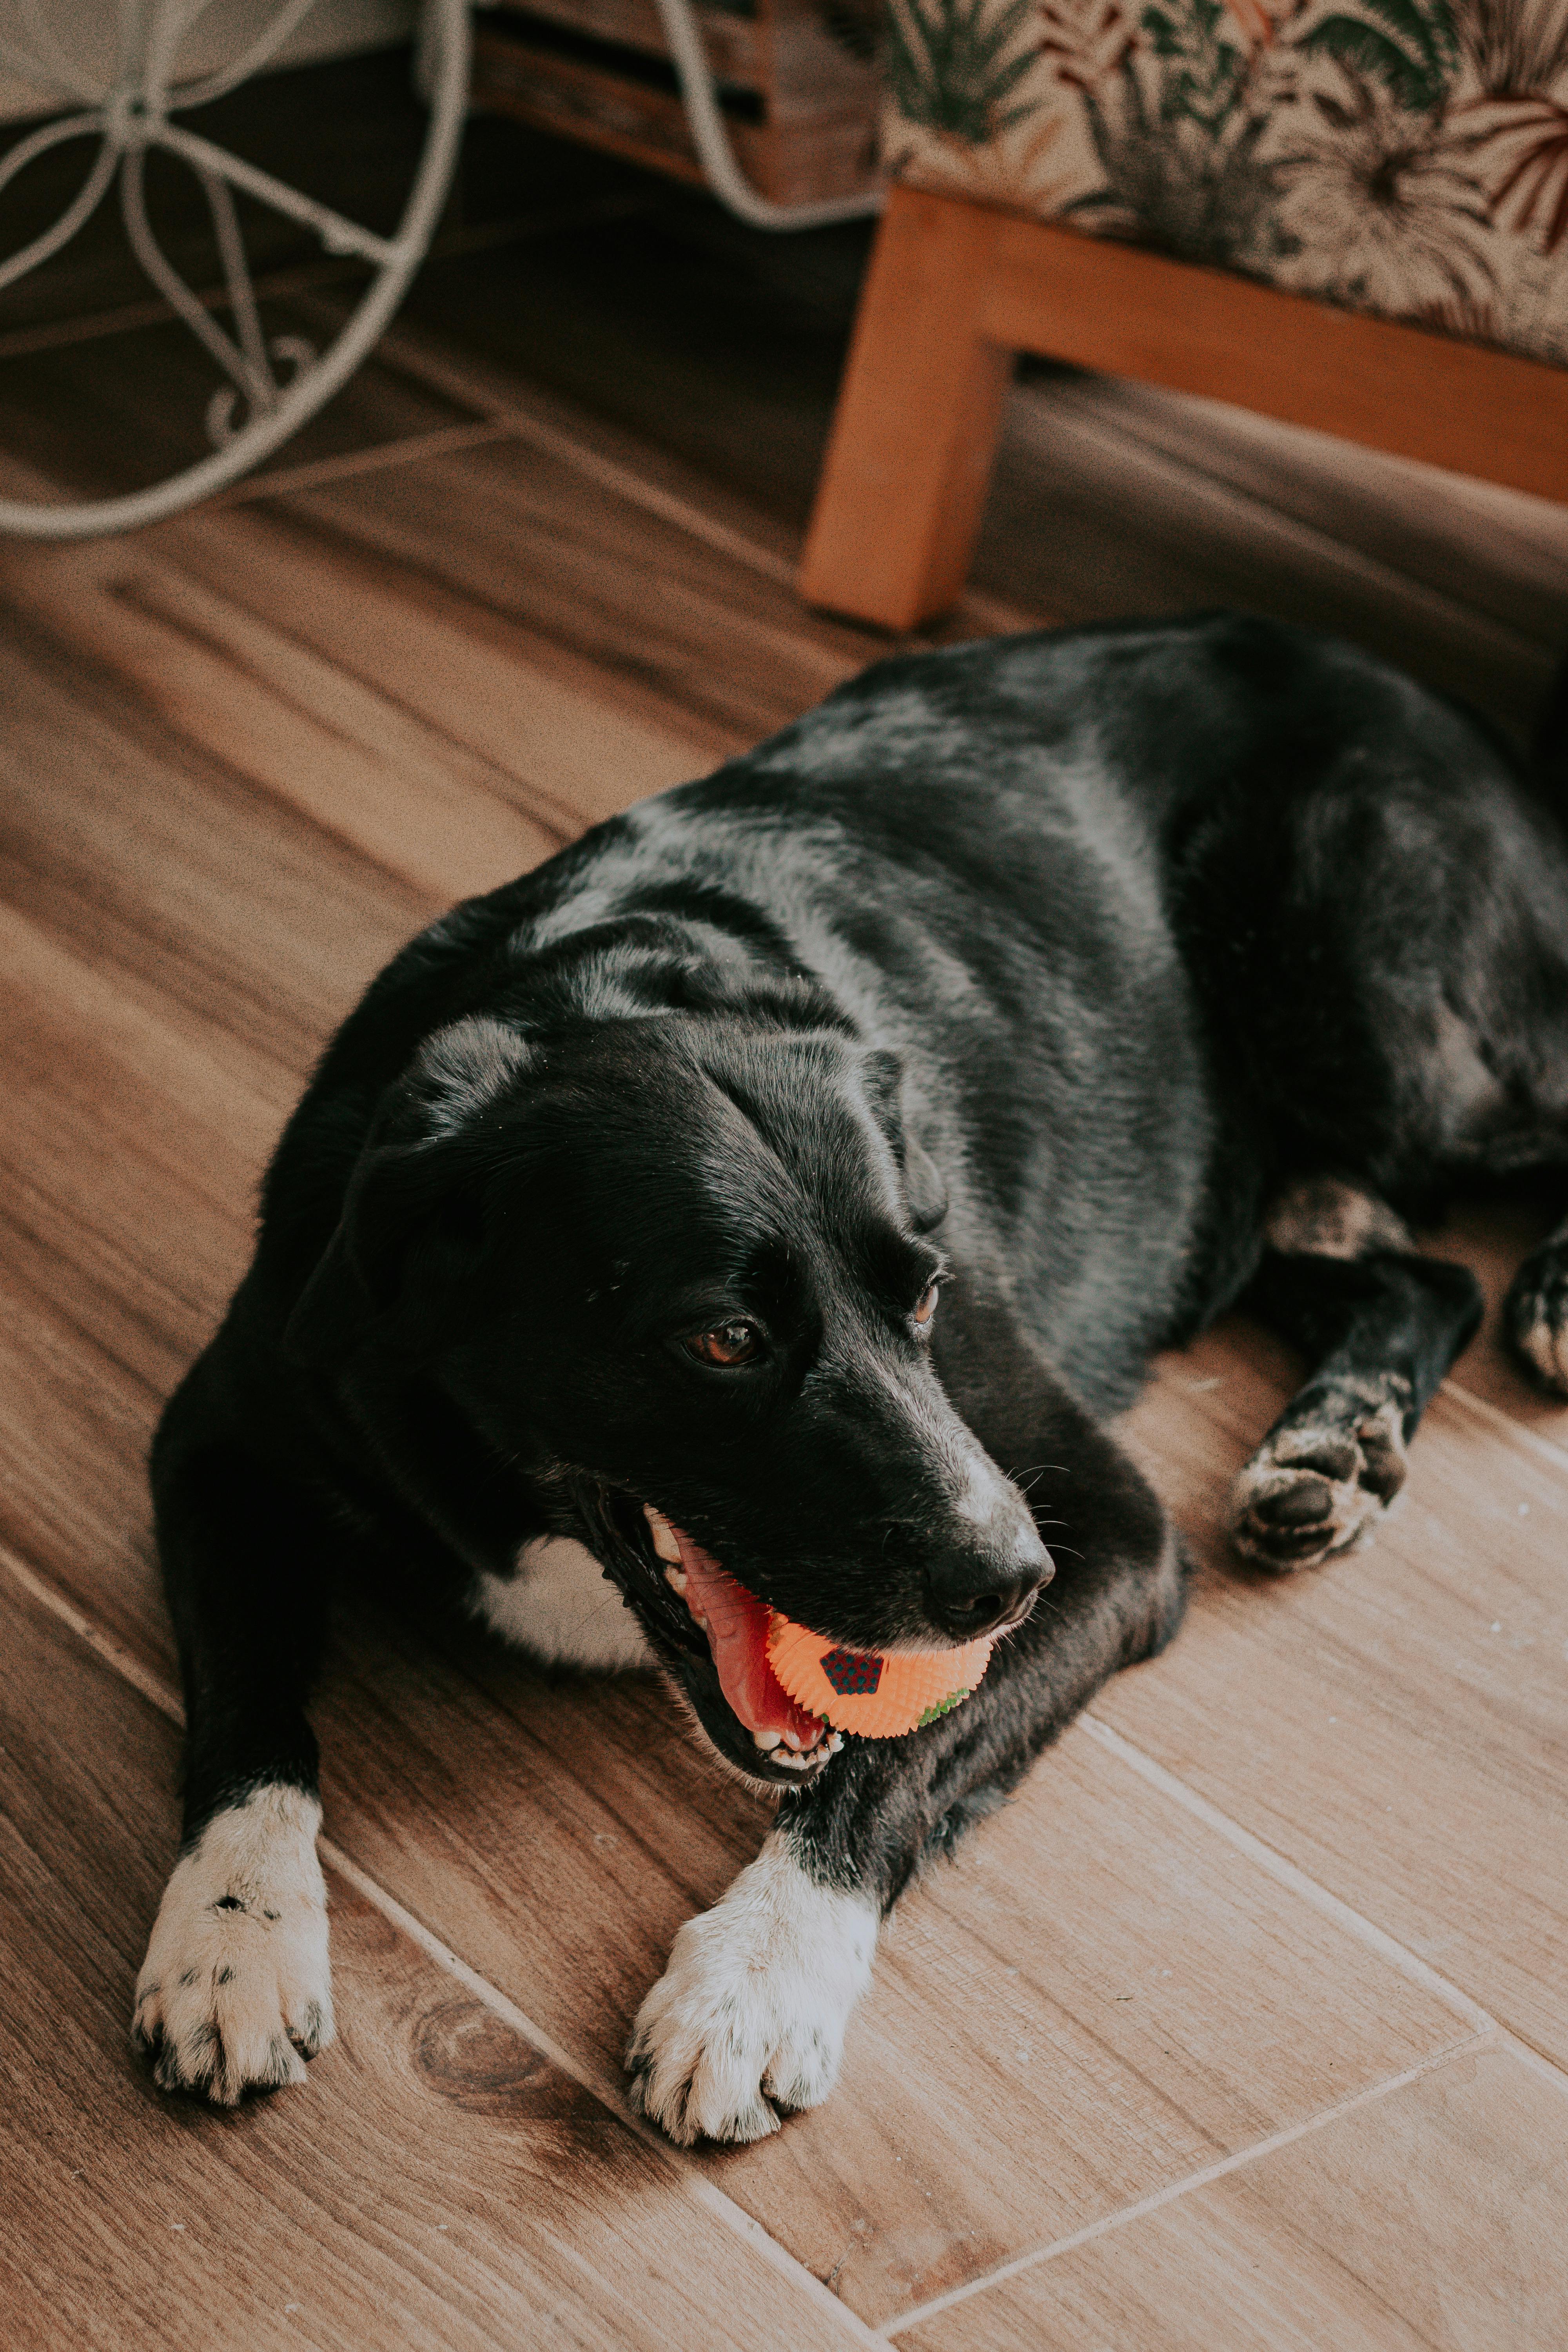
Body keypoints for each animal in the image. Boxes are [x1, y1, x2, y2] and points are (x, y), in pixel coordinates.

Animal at [131, 616, 1568, 2145]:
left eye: (925, 1290)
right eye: (723, 1339)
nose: (1008, 1581)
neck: (593, 986)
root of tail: (1405, 681)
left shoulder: (1108, 1530)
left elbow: (890, 1761)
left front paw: (755, 1978)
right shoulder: (220, 1440)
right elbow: (249, 1714)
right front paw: (230, 1934)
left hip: (1379, 1014)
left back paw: (1533, 1304)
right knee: (1418, 1275)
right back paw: (1333, 1447)